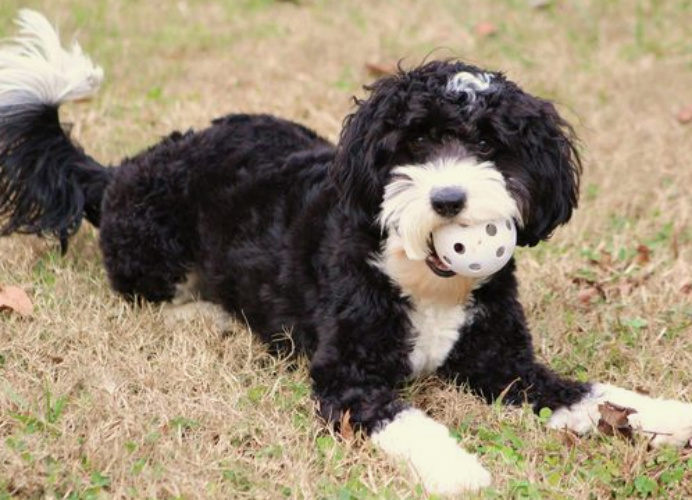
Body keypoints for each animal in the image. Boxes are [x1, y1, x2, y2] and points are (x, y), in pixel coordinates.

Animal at [1, 9, 692, 494]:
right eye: (414, 143)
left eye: (489, 146)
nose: (448, 199)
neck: (427, 282)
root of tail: (119, 170)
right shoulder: (347, 377)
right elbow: (407, 419)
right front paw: (456, 469)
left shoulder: (505, 363)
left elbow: (592, 394)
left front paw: (666, 414)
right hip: (149, 234)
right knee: (143, 292)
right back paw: (205, 313)